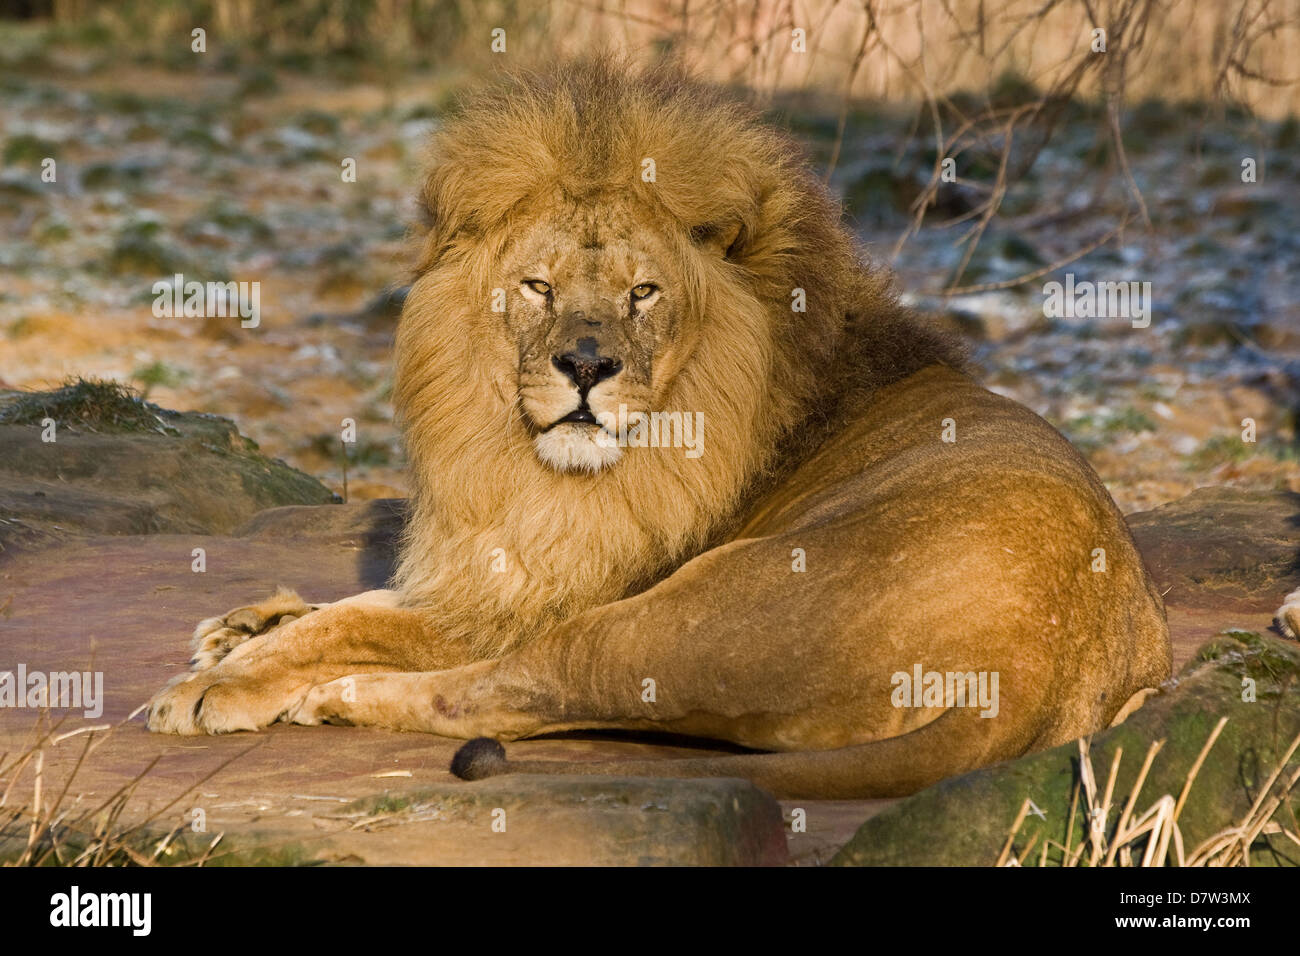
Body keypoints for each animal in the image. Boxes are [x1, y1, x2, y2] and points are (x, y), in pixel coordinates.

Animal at [146, 56, 1172, 799]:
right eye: (538, 286)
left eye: (643, 292)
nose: (586, 368)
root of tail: (1024, 670)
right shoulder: (497, 564)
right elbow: (364, 601)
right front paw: (244, 625)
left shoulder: (552, 587)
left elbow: (370, 621)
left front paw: (217, 684)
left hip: (668, 616)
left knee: (501, 692)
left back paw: (336, 700)